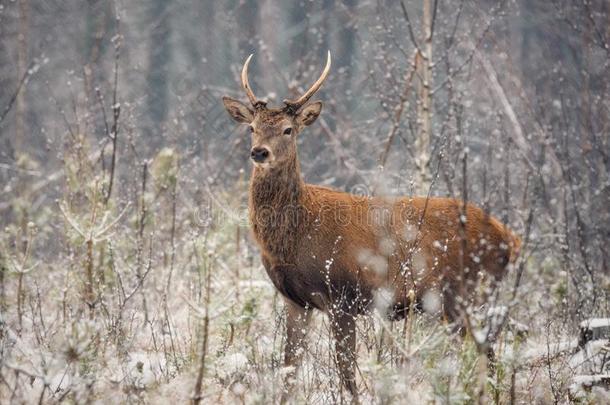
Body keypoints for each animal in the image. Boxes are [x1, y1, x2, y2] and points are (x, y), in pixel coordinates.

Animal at [222, 51, 516, 400]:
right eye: (252, 128)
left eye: (288, 130)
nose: (259, 152)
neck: (295, 236)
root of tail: (510, 238)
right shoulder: (295, 301)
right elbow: (288, 370)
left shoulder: (342, 296)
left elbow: (346, 371)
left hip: (467, 294)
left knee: (487, 354)